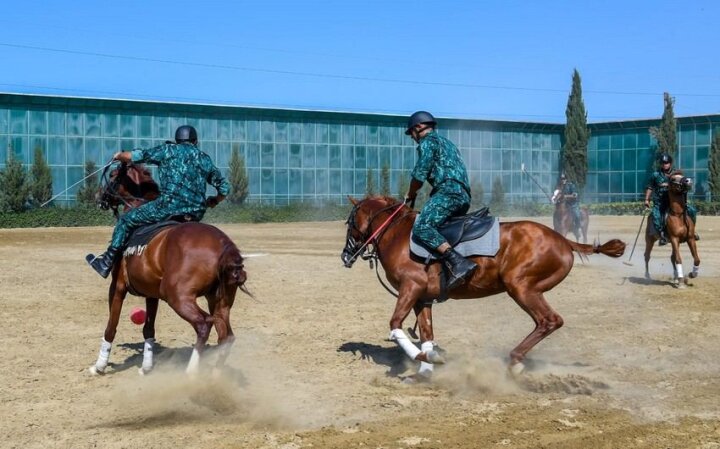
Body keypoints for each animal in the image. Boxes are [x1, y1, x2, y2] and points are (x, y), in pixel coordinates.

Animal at [88, 163, 253, 376]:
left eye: (113, 174)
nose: (98, 196)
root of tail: (224, 245)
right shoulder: (151, 294)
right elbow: (148, 329)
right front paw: (146, 367)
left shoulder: (117, 287)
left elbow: (111, 327)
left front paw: (99, 366)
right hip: (219, 300)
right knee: (226, 336)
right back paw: (216, 376)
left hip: (177, 296)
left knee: (203, 325)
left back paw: (191, 372)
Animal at [338, 196, 624, 378]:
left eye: (350, 223)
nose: (345, 256)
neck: (397, 234)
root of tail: (563, 240)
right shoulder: (423, 298)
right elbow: (427, 334)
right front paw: (428, 367)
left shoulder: (411, 288)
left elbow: (395, 325)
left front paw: (422, 360)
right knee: (547, 322)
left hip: (521, 287)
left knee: (549, 320)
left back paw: (515, 360)